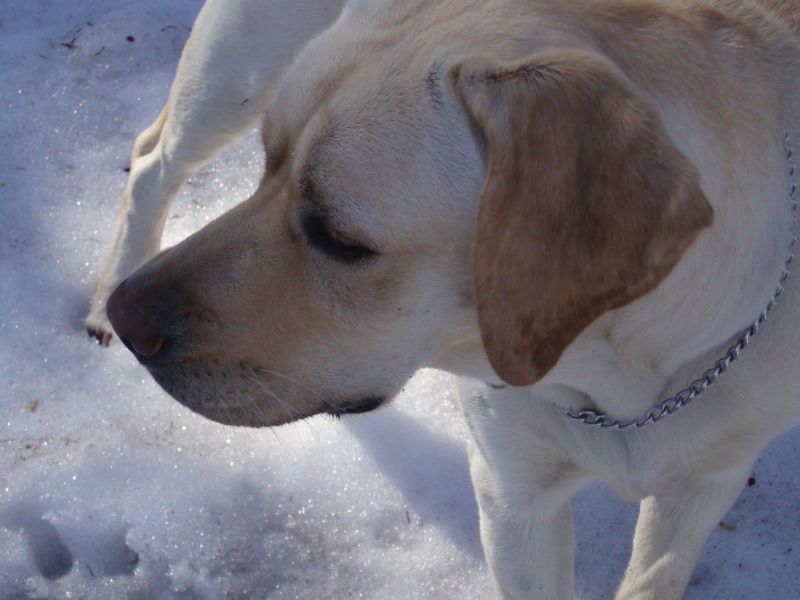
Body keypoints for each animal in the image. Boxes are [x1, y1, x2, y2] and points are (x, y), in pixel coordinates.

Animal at [87, 0, 800, 597]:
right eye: (267, 165)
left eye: (338, 238)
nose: (130, 317)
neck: (621, 389)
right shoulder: (511, 492)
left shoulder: (707, 482)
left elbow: (656, 575)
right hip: (237, 66)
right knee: (152, 158)